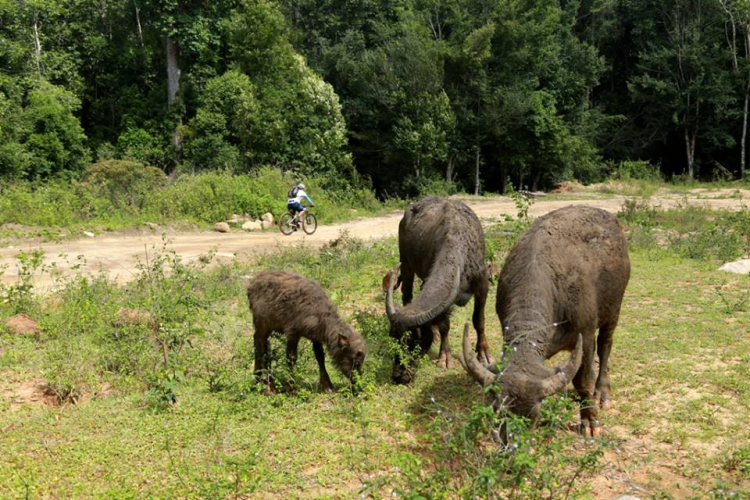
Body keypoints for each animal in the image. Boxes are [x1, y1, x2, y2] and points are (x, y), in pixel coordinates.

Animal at [388, 197, 494, 384]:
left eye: (412, 340)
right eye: (393, 339)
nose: (399, 376)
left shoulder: (482, 283)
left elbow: (479, 320)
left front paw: (483, 354)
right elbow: (445, 325)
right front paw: (444, 356)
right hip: (406, 262)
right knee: (407, 293)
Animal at [462, 205, 632, 436]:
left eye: (534, 414)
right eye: (499, 410)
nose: (512, 441)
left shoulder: (586, 335)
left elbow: (583, 379)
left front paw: (590, 420)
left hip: (614, 310)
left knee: (605, 346)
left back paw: (602, 391)